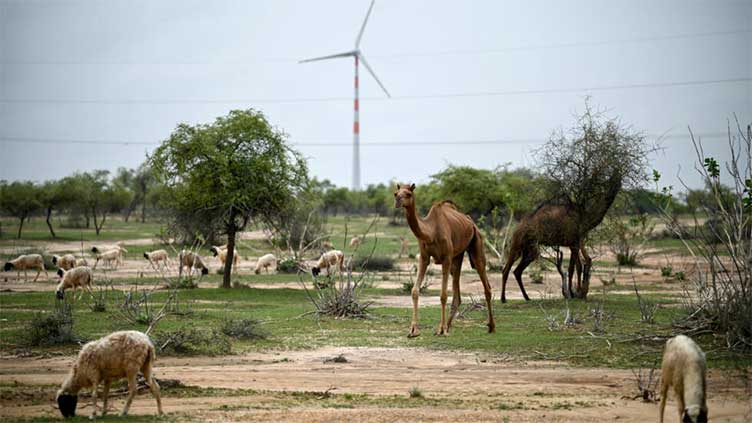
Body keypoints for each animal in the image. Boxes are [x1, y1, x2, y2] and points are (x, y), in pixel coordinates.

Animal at [394, 183, 494, 338]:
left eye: (408, 194)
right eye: (395, 193)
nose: (398, 201)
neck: (431, 232)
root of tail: (470, 222)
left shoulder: (446, 258)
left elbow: (443, 295)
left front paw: (442, 329)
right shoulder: (424, 257)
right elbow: (415, 291)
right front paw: (413, 330)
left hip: (476, 244)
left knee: (485, 283)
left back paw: (491, 327)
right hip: (458, 256)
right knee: (457, 289)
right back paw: (447, 325)